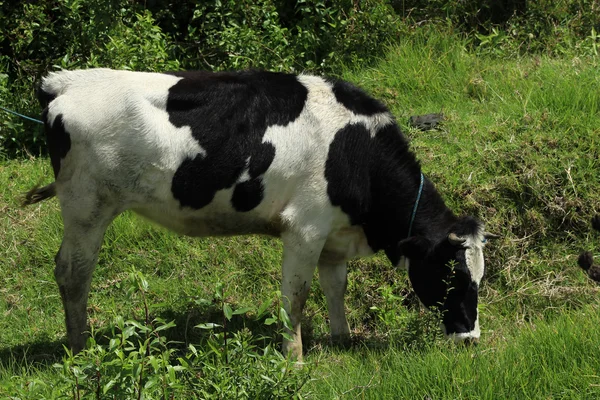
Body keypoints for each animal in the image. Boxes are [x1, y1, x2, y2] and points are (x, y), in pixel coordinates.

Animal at [24, 68, 496, 360]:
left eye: (481, 276)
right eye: (452, 276)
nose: (470, 338)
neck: (354, 150)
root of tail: (66, 82)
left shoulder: (334, 234)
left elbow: (335, 287)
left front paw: (342, 339)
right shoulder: (304, 228)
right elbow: (297, 295)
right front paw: (295, 357)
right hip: (86, 207)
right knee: (72, 272)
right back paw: (80, 347)